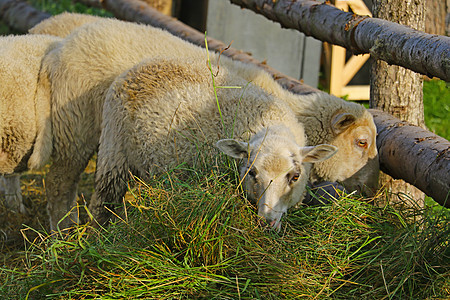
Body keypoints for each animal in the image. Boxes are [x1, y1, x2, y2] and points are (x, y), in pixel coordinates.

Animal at [89, 57, 338, 229]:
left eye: (295, 177)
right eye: (252, 173)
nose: (266, 221)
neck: (271, 127)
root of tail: (140, 66)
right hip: (113, 150)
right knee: (102, 204)